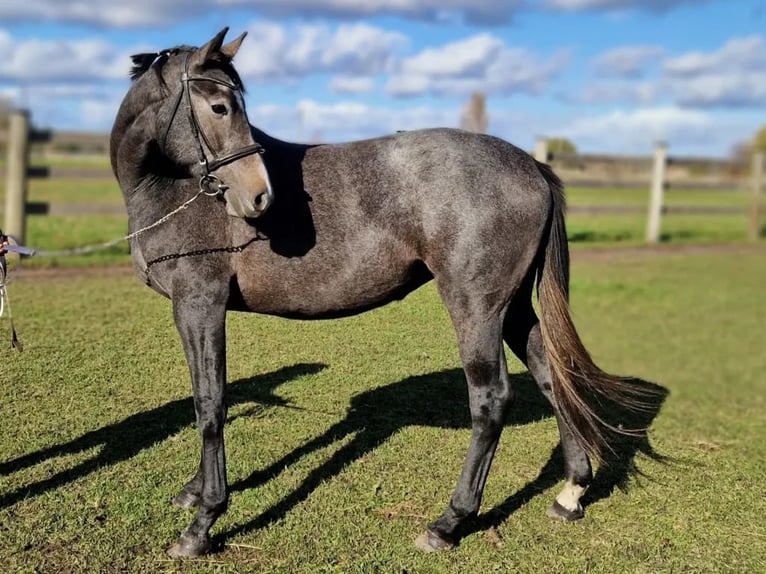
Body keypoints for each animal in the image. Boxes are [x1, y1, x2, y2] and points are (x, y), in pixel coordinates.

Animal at [110, 28, 649, 558]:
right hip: (512, 306)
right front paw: (195, 493)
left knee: (491, 399)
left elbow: (210, 405)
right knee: (552, 377)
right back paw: (571, 492)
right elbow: (207, 399)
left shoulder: (201, 304)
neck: (171, 190)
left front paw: (203, 522)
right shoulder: (194, 310)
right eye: (220, 106)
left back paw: (448, 523)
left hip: (477, 307)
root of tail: (531, 165)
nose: (259, 198)